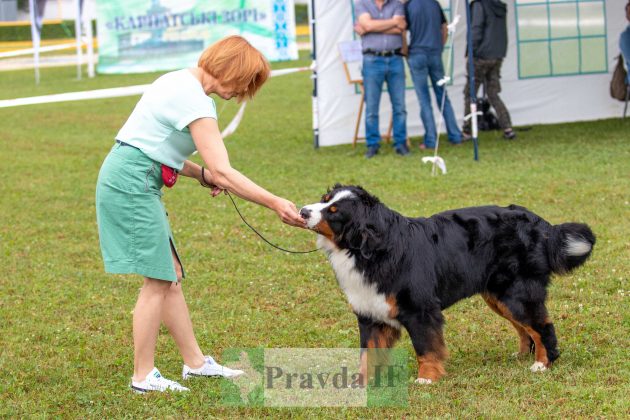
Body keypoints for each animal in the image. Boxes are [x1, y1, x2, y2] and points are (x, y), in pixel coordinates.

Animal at [302, 184, 596, 384]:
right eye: (324, 200)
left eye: (334, 212)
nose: (303, 211)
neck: (372, 251)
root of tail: (539, 223)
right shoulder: (370, 312)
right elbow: (367, 354)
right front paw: (361, 383)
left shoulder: (419, 310)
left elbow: (425, 346)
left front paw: (427, 377)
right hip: (499, 296)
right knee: (525, 328)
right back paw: (524, 355)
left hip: (517, 293)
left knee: (541, 326)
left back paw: (542, 363)